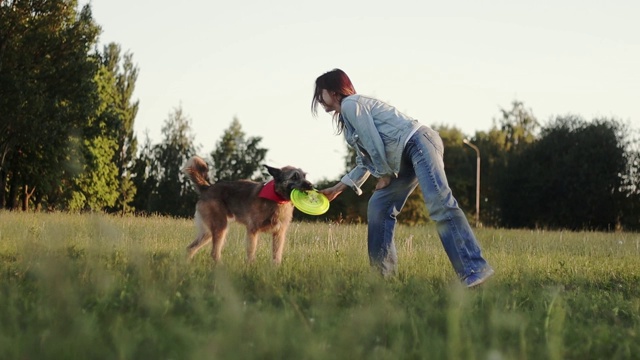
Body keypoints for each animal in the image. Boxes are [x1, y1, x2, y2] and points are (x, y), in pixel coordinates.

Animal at [181, 155, 314, 264]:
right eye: (294, 176)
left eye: (304, 176)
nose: (311, 185)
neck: (276, 199)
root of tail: (207, 188)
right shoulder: (252, 230)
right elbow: (251, 252)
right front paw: (251, 268)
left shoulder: (279, 233)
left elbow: (276, 255)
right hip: (220, 227)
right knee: (214, 253)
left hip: (208, 232)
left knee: (190, 248)